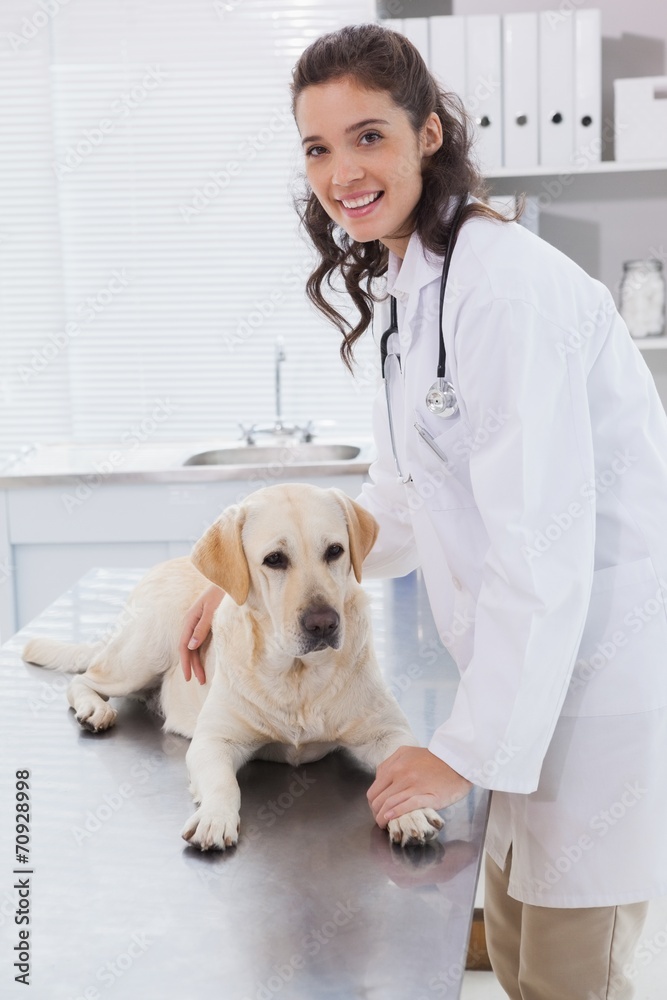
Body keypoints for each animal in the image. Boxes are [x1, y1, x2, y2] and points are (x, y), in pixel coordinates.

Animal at [23, 480, 446, 848]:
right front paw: (215, 818)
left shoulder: (388, 733)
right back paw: (95, 710)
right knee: (85, 678)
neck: (297, 676)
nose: (324, 623)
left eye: (335, 551)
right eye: (274, 560)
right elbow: (224, 784)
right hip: (142, 653)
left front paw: (411, 812)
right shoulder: (214, 741)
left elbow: (405, 768)